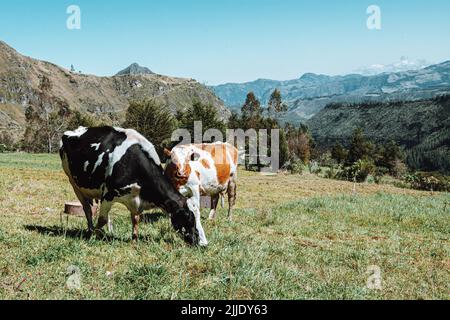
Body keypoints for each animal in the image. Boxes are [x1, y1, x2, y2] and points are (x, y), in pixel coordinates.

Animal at [59, 126, 203, 246]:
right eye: (188, 217)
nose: (197, 241)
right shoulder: (109, 194)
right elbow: (102, 219)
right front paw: (95, 236)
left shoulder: (133, 198)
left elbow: (135, 219)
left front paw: (134, 240)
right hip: (74, 183)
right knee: (87, 209)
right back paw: (90, 230)